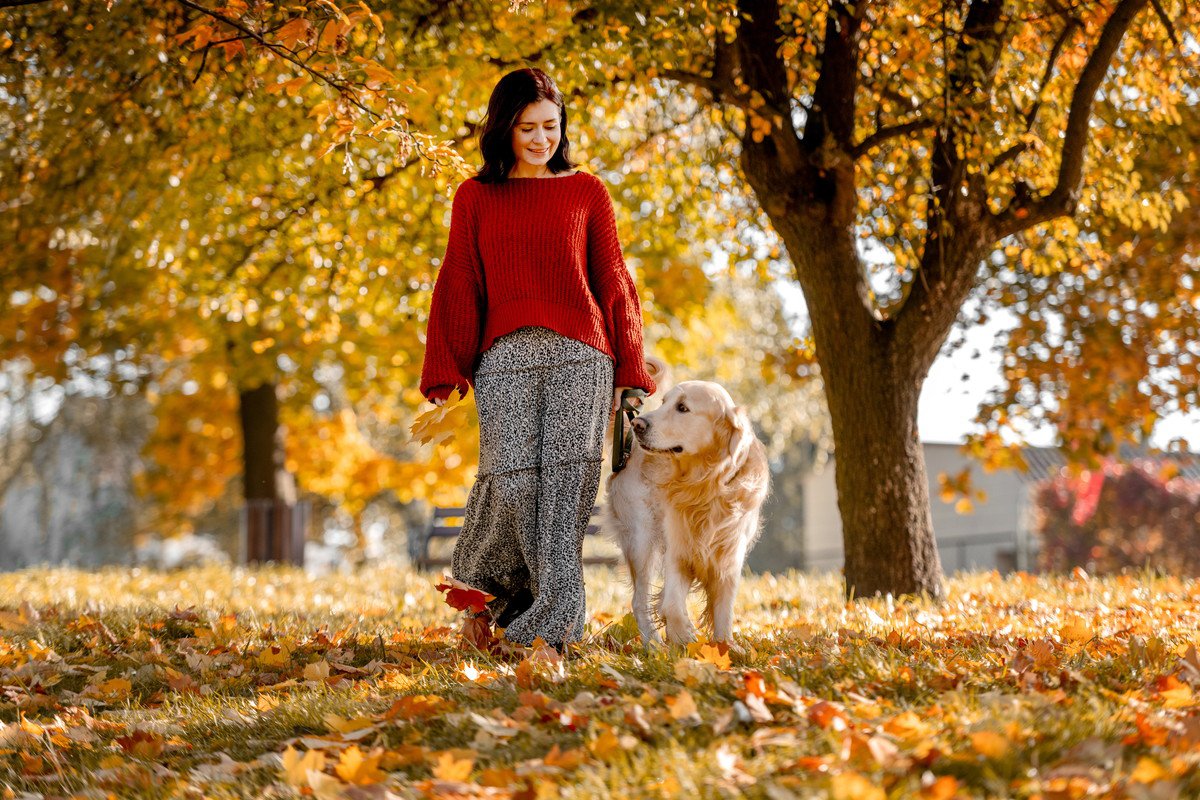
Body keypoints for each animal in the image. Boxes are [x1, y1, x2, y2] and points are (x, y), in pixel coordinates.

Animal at [604, 367, 772, 647]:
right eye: (663, 402)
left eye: (682, 408)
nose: (639, 424)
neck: (703, 485)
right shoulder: (678, 549)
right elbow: (672, 604)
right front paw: (684, 635)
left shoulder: (729, 554)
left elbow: (724, 610)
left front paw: (725, 648)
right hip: (642, 536)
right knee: (639, 601)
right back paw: (655, 646)